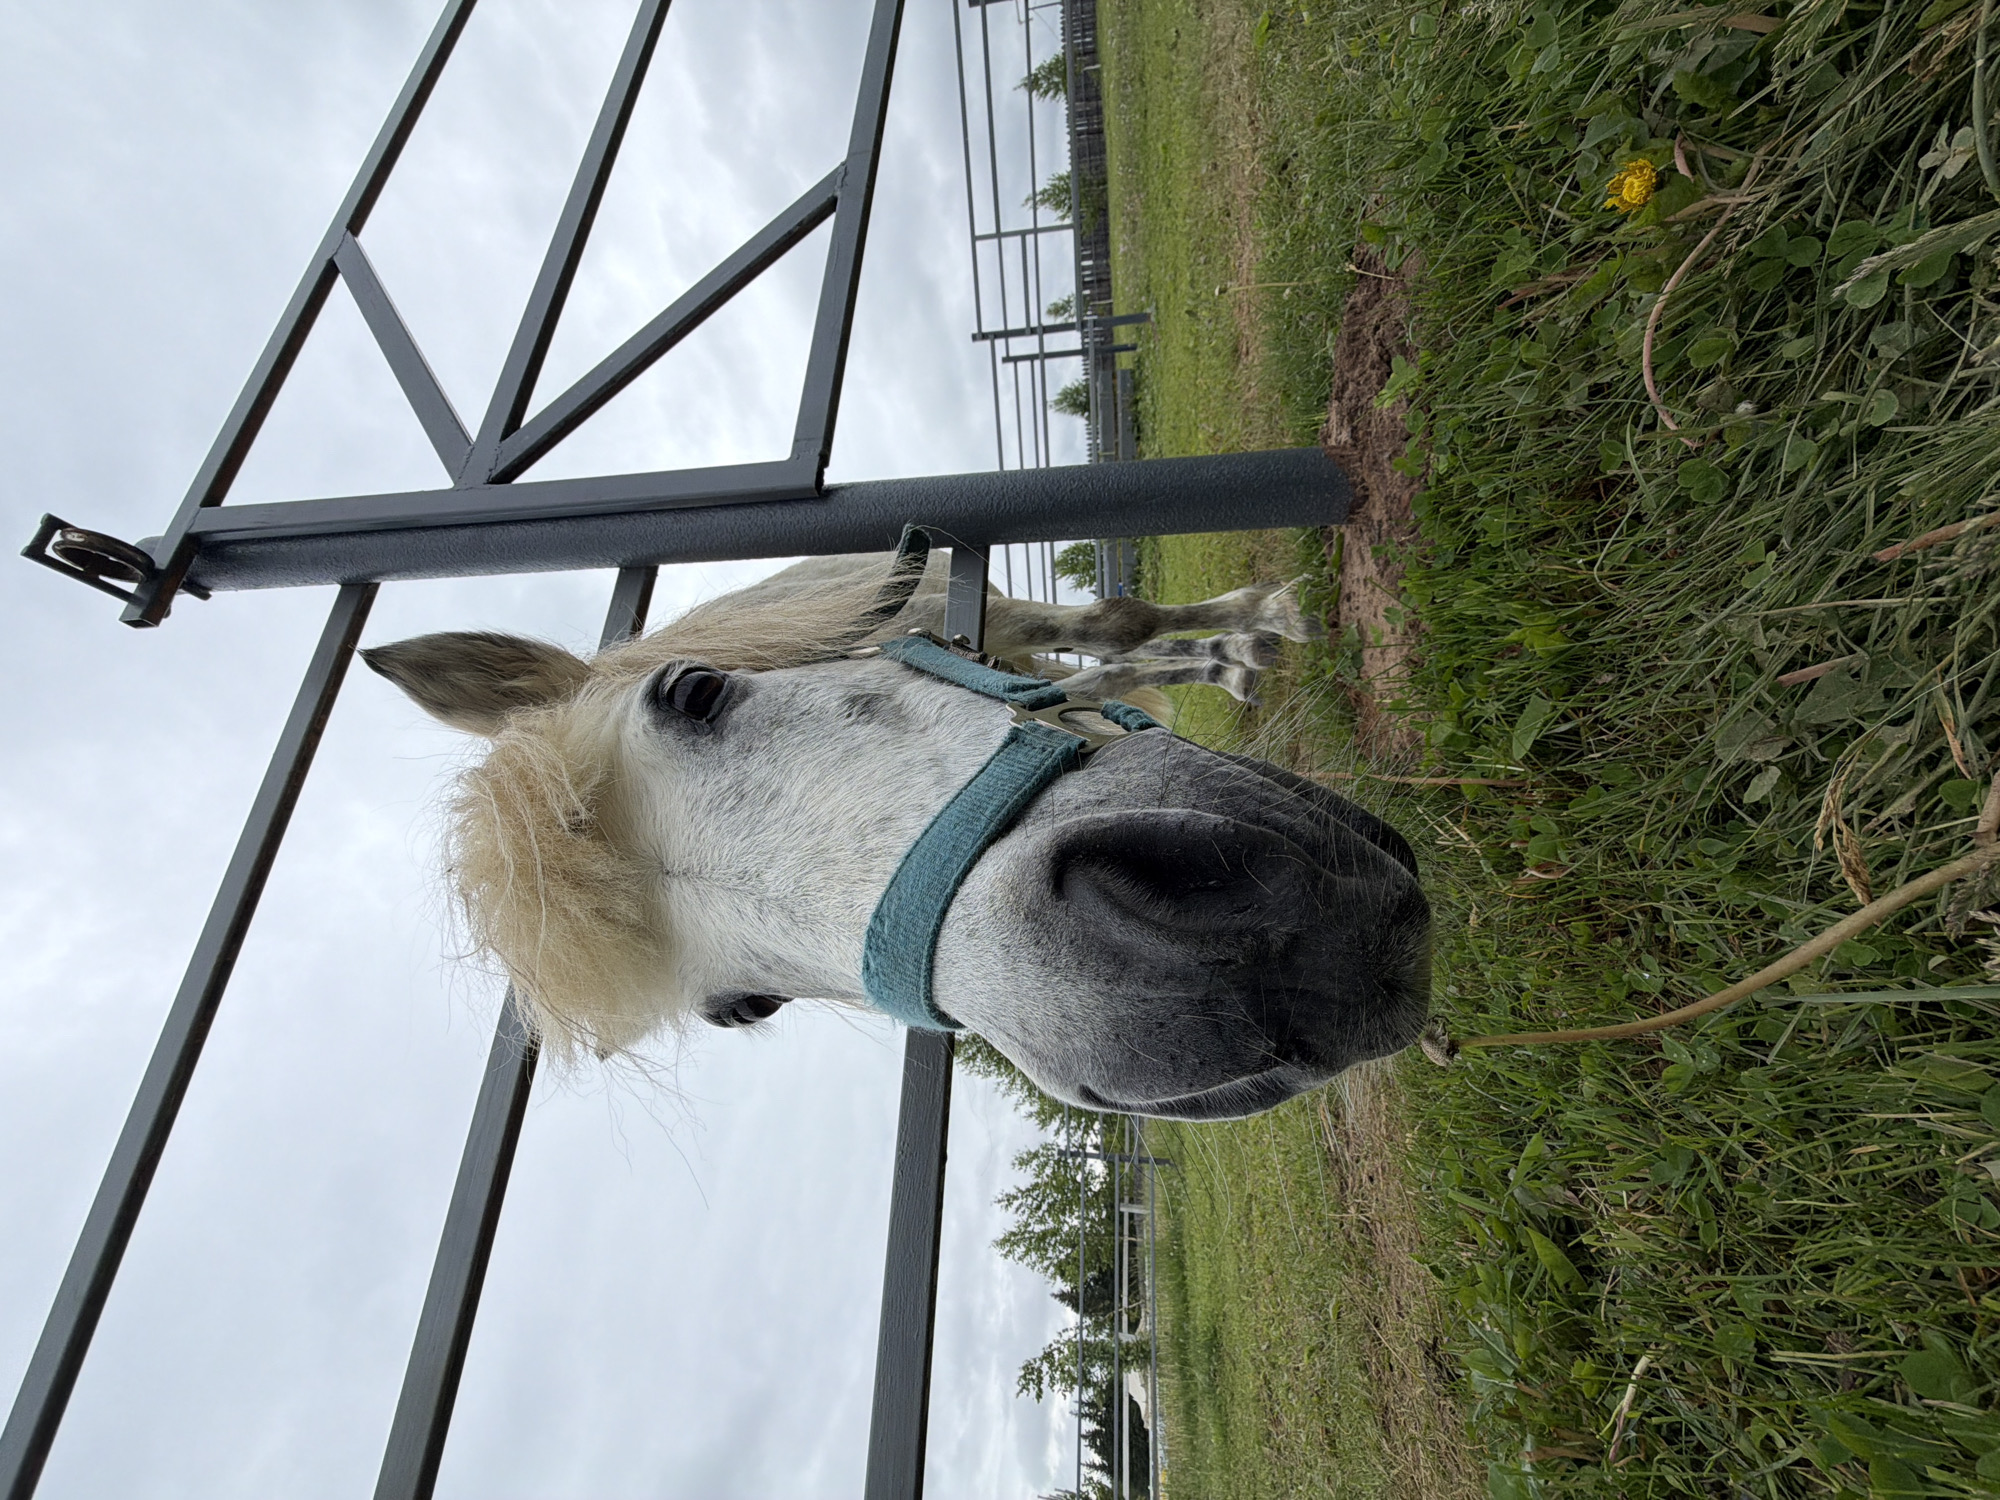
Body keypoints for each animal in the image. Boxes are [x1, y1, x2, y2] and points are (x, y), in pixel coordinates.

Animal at [362, 546, 1431, 1120]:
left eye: (695, 691)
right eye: (743, 1007)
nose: (1166, 990)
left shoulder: (989, 611)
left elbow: (1116, 630)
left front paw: (1256, 623)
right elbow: (1106, 675)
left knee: (1112, 640)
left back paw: (1245, 636)